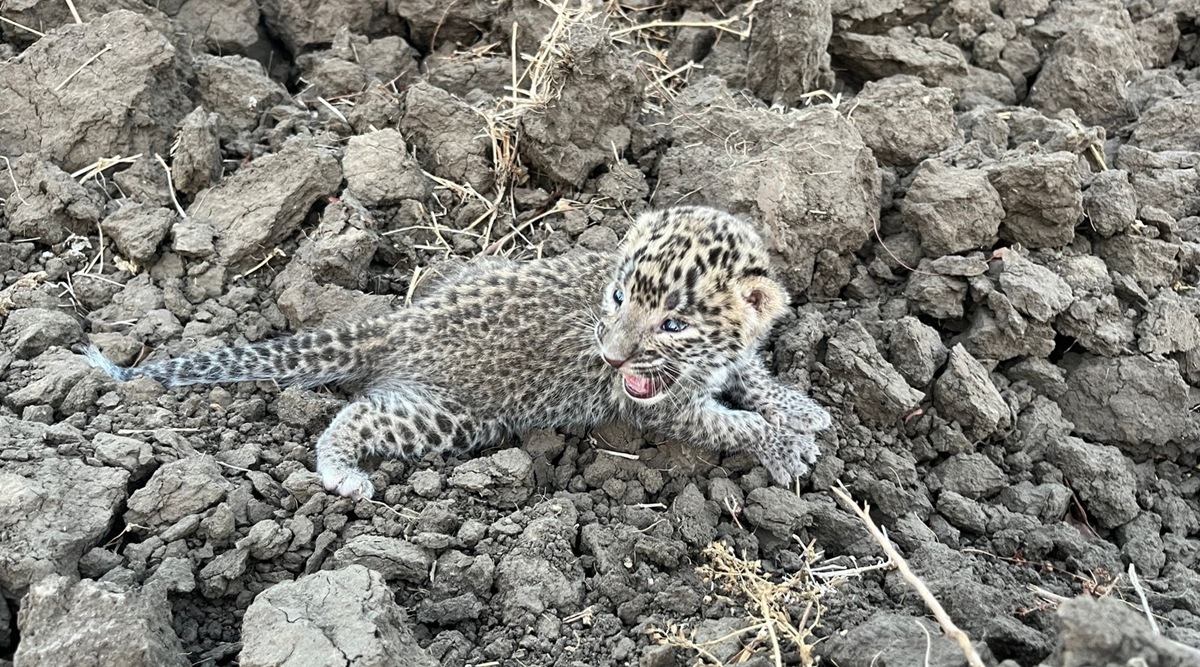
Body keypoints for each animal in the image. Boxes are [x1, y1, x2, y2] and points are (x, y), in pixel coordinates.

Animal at [82, 205, 833, 499]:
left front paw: (801, 408)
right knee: (355, 416)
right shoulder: (665, 410)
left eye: (673, 322)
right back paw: (341, 473)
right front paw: (784, 445)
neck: (697, 363)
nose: (614, 357)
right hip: (454, 418)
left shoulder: (724, 359)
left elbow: (753, 375)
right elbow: (730, 423)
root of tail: (403, 321)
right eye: (618, 297)